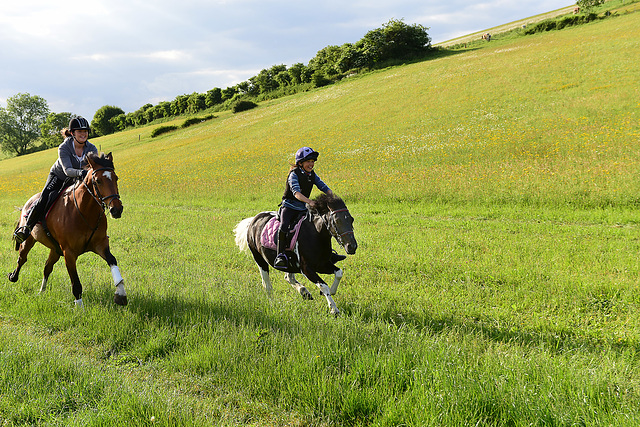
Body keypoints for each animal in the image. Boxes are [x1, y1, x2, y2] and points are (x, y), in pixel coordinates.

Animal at [7, 153, 127, 308]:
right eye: (98, 181)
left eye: (116, 178)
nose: (116, 209)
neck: (84, 211)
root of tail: (28, 203)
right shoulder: (69, 253)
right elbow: (76, 284)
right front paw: (80, 308)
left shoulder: (100, 245)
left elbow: (112, 260)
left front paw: (121, 294)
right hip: (29, 240)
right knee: (22, 258)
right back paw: (13, 276)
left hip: (55, 249)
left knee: (47, 267)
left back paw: (41, 292)